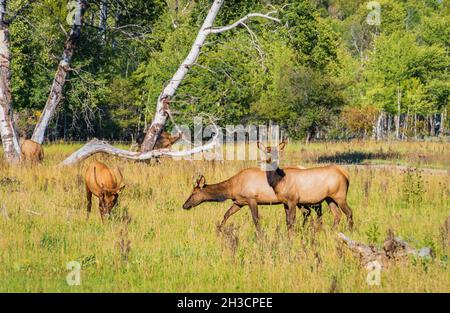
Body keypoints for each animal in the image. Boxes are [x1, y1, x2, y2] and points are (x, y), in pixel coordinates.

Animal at [181, 166, 322, 232]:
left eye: (193, 193)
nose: (184, 205)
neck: (231, 189)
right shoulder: (239, 202)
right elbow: (226, 214)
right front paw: (219, 229)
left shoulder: (252, 199)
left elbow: (256, 219)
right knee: (310, 211)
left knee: (313, 209)